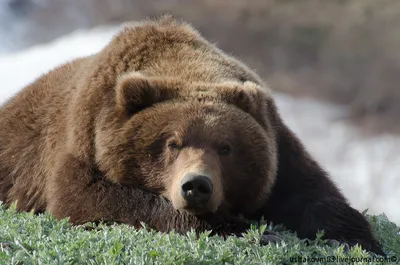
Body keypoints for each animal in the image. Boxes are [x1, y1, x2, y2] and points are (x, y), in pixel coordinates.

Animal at [0, 16, 384, 254]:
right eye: (172, 143)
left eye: (226, 147)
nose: (196, 185)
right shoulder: (85, 143)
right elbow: (89, 200)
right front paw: (252, 231)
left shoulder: (279, 145)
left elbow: (314, 195)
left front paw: (356, 240)